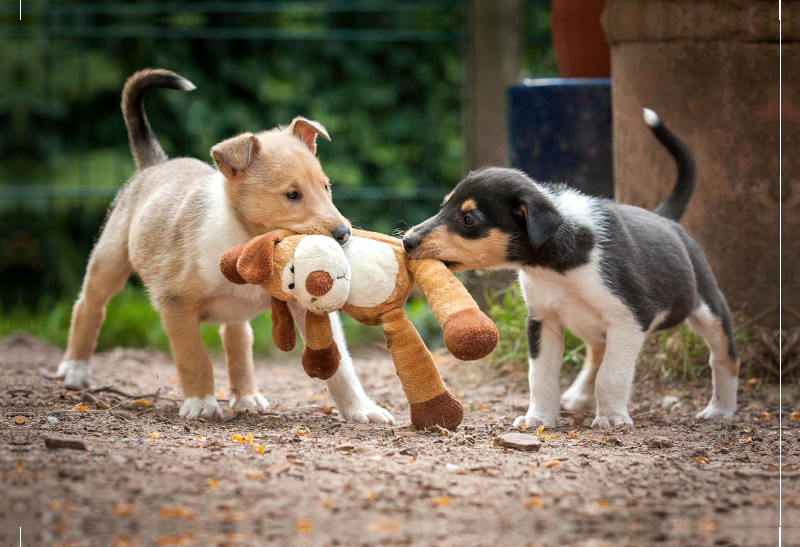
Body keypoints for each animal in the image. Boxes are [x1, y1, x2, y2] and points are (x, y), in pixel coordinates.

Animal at [54, 69, 396, 428]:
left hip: (233, 310)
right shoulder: (174, 305)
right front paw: (201, 404)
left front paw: (363, 409)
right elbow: (194, 357)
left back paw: (247, 397)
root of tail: (155, 165)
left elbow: (342, 366)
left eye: (326, 187)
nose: (344, 234)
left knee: (237, 339)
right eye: (291, 194)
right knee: (89, 306)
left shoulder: (305, 305)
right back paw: (75, 370)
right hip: (110, 259)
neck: (245, 238)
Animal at [404, 110, 740, 428]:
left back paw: (720, 409)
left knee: (724, 357)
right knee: (595, 354)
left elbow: (612, 375)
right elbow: (541, 376)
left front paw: (611, 418)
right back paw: (578, 396)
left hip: (709, 309)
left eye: (469, 219)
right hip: (590, 324)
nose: (407, 240)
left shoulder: (630, 320)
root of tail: (667, 220)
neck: (556, 267)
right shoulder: (543, 320)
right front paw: (539, 418)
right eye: (443, 206)